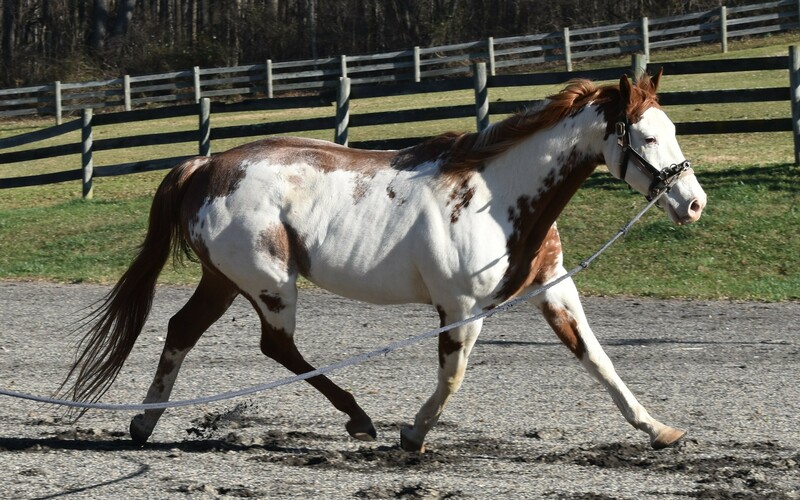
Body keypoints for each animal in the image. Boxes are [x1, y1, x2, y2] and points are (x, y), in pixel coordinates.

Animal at [62, 71, 708, 454]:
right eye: (647, 137)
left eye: (671, 128)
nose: (694, 202)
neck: (498, 196)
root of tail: (204, 165)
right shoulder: (461, 306)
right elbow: (453, 376)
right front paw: (412, 435)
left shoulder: (553, 289)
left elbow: (599, 361)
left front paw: (658, 429)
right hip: (269, 283)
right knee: (276, 347)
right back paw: (359, 417)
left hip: (223, 280)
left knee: (180, 331)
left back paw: (144, 423)